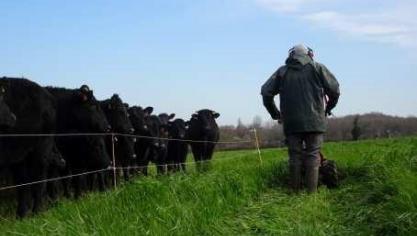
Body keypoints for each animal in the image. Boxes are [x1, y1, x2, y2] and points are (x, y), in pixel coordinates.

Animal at [0, 77, 59, 218]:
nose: (12, 118)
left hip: (43, 147)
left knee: (39, 179)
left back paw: (37, 211)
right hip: (19, 156)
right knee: (23, 183)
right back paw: (21, 214)